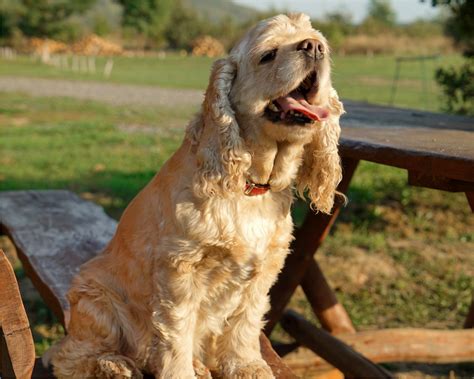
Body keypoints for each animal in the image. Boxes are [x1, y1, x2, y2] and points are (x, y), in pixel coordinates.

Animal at [50, 13, 342, 379]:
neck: (249, 186)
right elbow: (177, 332)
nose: (314, 48)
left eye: (321, 44)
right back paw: (114, 365)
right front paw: (182, 371)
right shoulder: (179, 267)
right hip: (94, 298)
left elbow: (246, 323)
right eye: (268, 54)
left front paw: (248, 366)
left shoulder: (264, 268)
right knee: (70, 356)